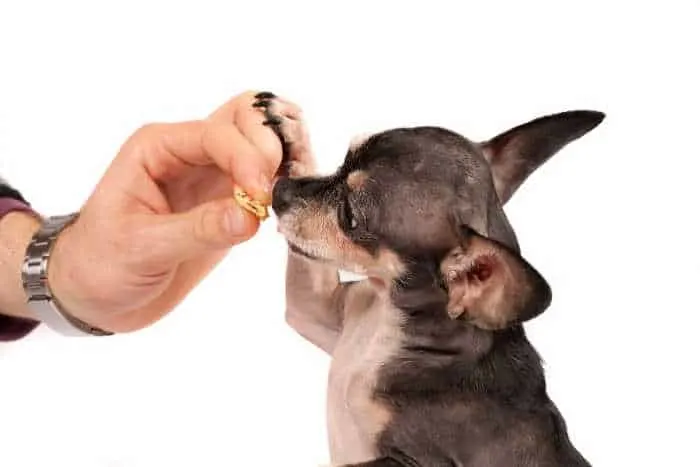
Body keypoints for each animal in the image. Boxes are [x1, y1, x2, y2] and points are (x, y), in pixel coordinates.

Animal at [254, 92, 604, 467]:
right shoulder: (313, 309)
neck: (389, 315)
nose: (280, 191)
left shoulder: (414, 461)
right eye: (343, 162)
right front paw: (290, 127)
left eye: (350, 216)